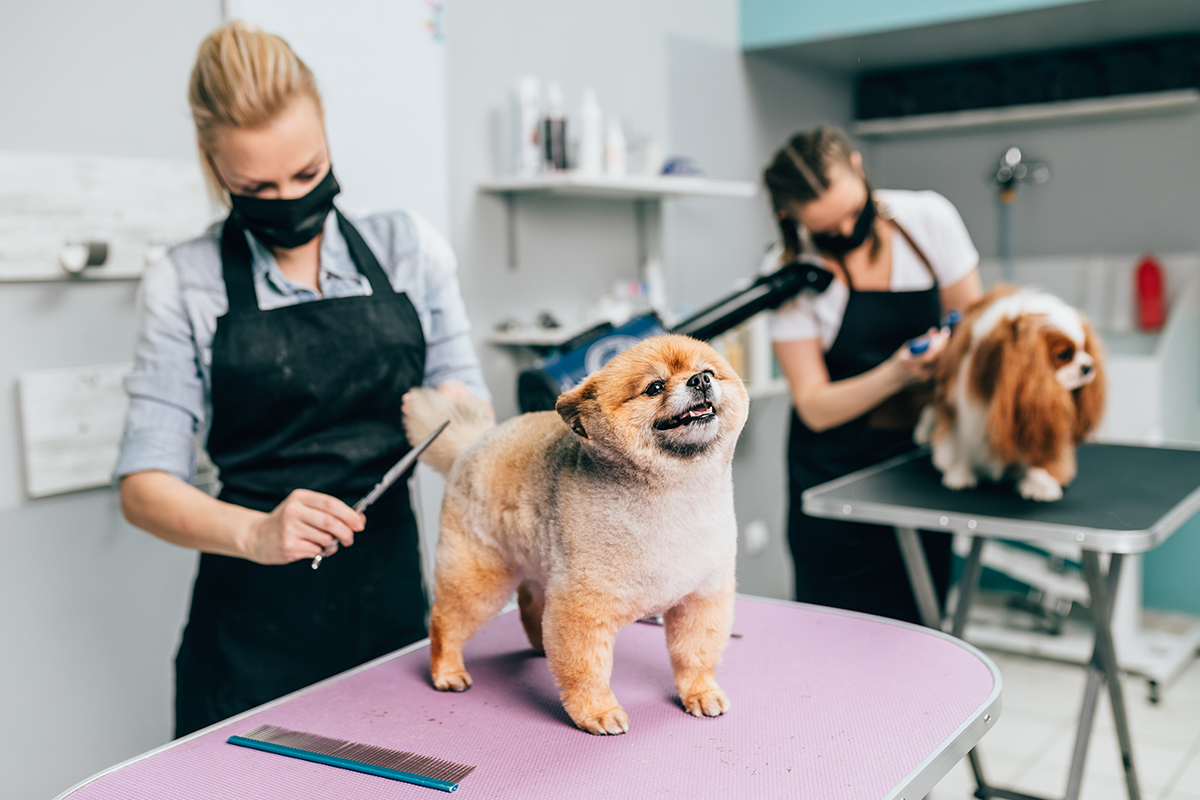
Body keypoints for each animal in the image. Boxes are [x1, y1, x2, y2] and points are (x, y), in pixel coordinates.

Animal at [403, 335, 748, 734]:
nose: (700, 381)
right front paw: (597, 712)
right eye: (655, 387)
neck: (673, 498)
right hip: (478, 576)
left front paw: (701, 691)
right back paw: (447, 671)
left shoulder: (701, 599)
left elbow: (695, 655)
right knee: (446, 622)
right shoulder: (581, 609)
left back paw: (539, 645)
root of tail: (472, 444)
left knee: (529, 601)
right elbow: (586, 670)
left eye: (709, 372)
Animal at [916, 286, 1104, 501]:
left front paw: (1041, 482)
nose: (1088, 367)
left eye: (1086, 349)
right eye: (1064, 355)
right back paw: (923, 432)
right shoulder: (961, 405)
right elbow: (959, 439)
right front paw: (960, 472)